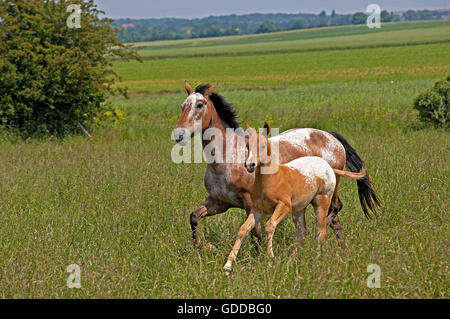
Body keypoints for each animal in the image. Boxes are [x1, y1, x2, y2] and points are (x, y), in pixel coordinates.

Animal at [173, 81, 380, 251]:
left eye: (200, 105)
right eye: (182, 106)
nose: (179, 134)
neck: (227, 159)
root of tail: (331, 136)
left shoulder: (251, 204)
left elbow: (255, 235)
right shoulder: (219, 202)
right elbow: (194, 217)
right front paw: (205, 247)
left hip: (332, 186)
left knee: (335, 209)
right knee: (334, 217)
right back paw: (341, 250)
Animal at [223, 124, 368, 274]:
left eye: (262, 146)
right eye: (247, 146)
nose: (249, 165)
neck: (270, 178)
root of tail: (328, 166)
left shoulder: (284, 207)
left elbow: (269, 226)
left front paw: (270, 258)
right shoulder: (258, 210)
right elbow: (243, 229)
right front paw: (227, 266)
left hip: (321, 203)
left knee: (321, 232)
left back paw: (316, 259)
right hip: (299, 209)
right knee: (301, 233)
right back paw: (292, 260)